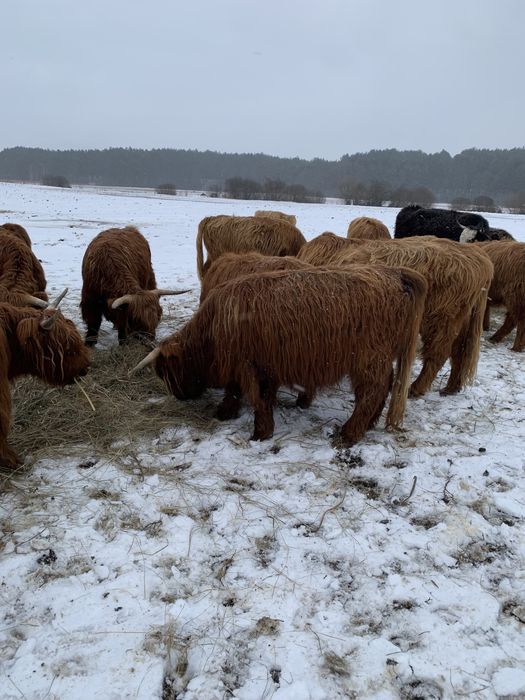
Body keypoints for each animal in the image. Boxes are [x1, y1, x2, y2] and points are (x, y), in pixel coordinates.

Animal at [131, 266, 426, 446]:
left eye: (165, 371)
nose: (180, 396)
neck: (213, 331)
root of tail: (396, 274)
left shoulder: (250, 366)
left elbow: (256, 398)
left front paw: (260, 433)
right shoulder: (261, 366)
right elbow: (239, 392)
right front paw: (226, 412)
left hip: (369, 358)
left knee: (372, 392)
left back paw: (349, 433)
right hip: (380, 358)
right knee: (384, 387)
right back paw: (369, 425)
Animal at [296, 234, 494, 396]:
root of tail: (480, 258)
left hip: (440, 319)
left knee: (438, 353)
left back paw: (416, 388)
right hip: (460, 319)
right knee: (459, 351)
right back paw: (451, 387)